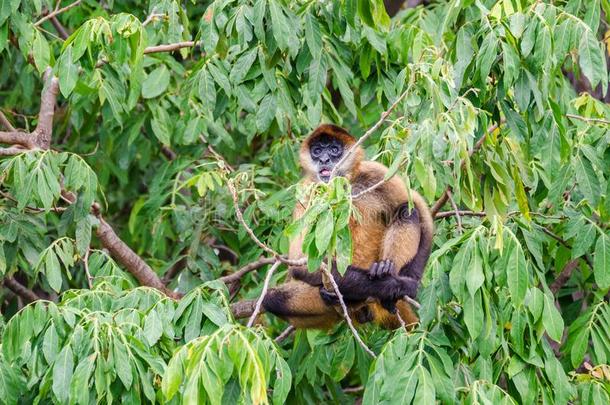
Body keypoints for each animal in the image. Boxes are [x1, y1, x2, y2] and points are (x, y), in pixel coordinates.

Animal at [262, 124, 432, 328]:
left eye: (334, 150)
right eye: (316, 151)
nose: (324, 159)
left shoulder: (372, 172)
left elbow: (421, 211)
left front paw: (410, 279)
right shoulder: (307, 190)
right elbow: (301, 264)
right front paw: (399, 285)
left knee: (407, 211)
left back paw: (385, 272)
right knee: (271, 299)